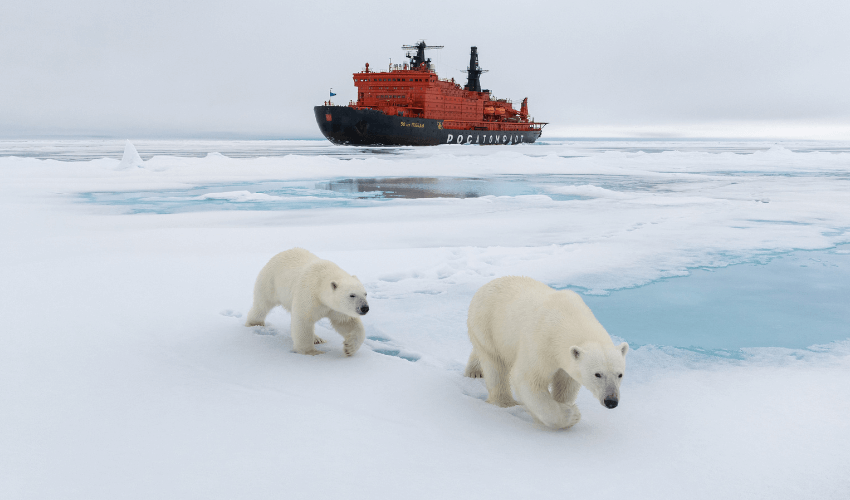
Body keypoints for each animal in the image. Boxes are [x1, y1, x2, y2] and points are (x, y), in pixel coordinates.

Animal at [464, 276, 624, 428]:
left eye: (620, 374)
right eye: (597, 374)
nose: (611, 400)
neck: (569, 317)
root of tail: (485, 286)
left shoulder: (566, 359)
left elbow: (566, 382)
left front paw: (563, 404)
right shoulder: (541, 342)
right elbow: (528, 379)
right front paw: (571, 415)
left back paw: (475, 371)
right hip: (487, 325)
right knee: (495, 365)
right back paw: (505, 401)